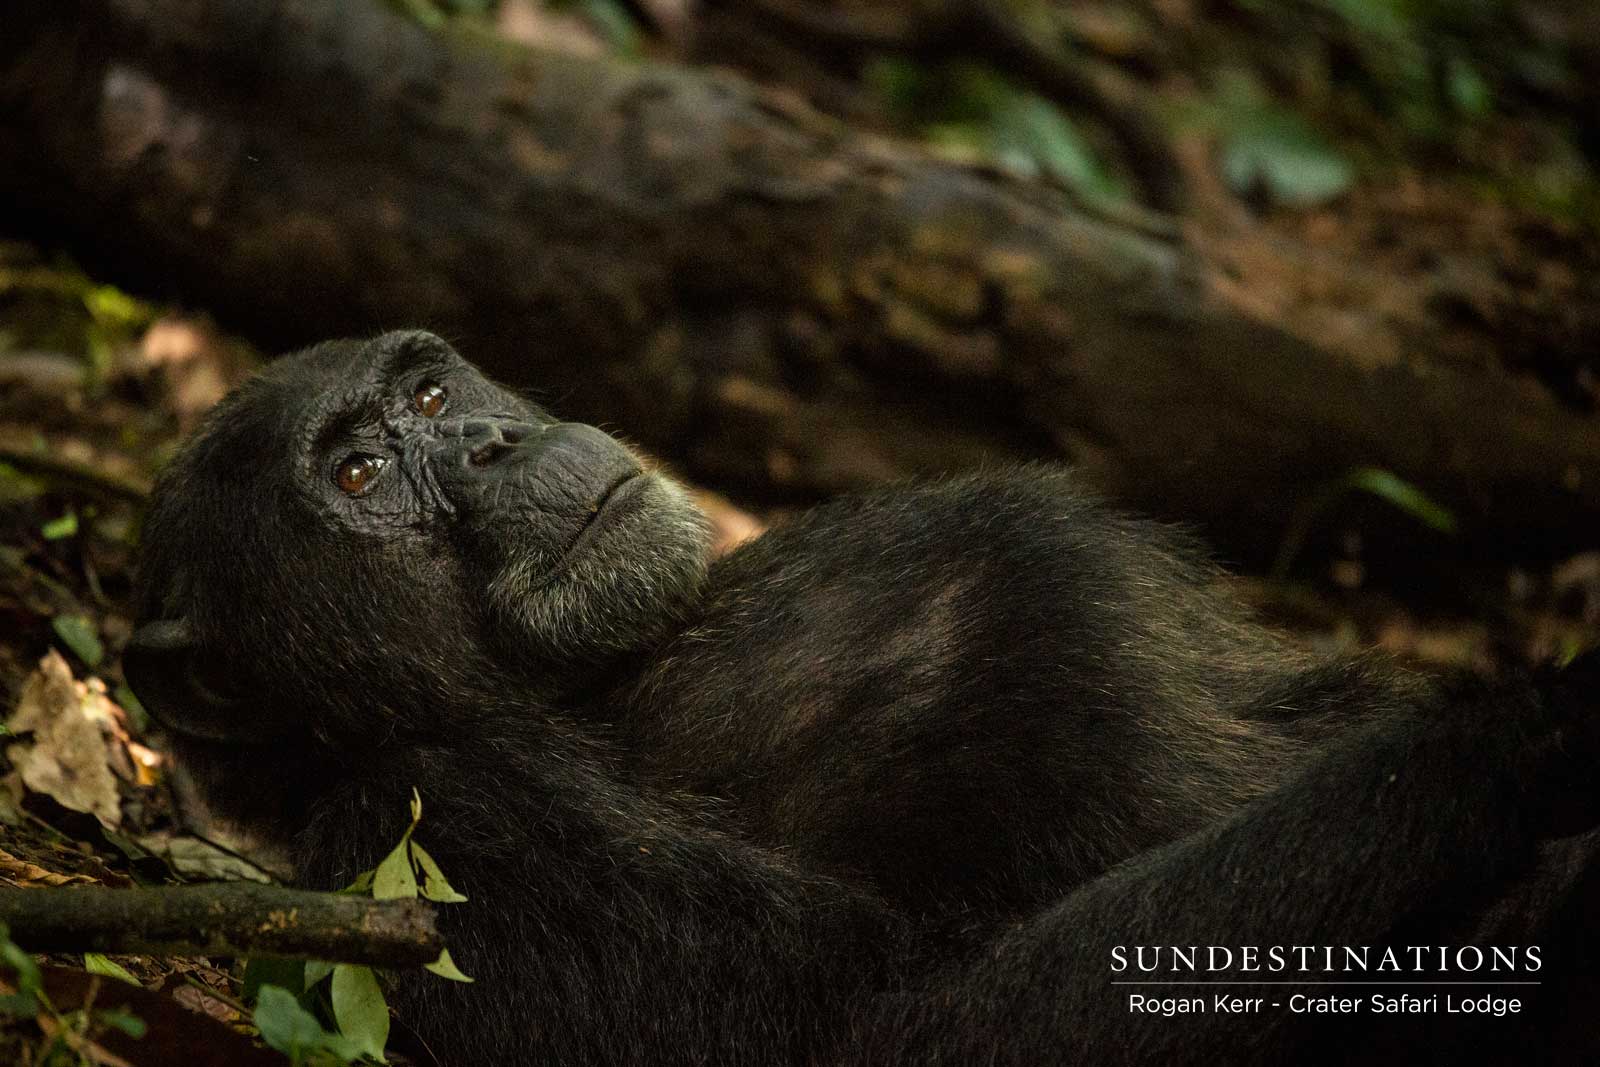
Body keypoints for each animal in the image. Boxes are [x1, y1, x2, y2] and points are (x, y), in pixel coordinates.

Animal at [124, 330, 1599, 1065]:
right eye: (362, 473)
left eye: (432, 394)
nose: (491, 438)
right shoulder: (439, 839)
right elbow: (890, 1029)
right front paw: (1526, 729)